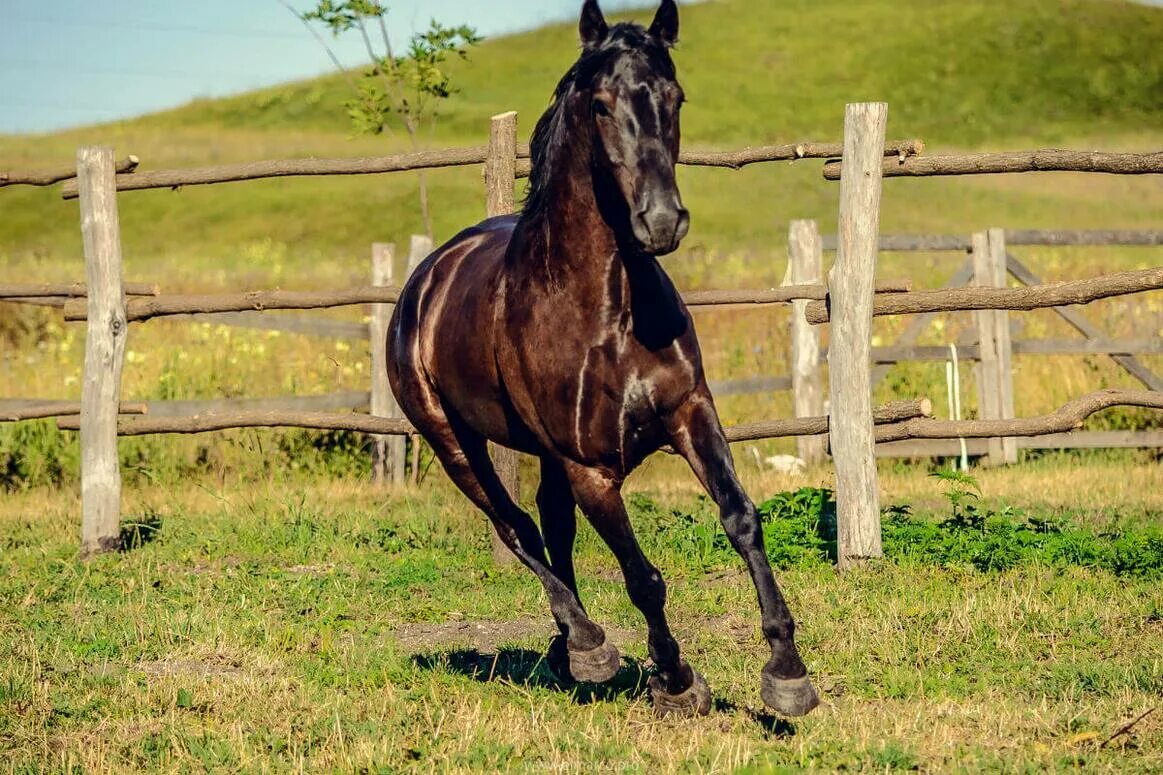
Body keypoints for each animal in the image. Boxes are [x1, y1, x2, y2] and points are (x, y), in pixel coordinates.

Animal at [390, 0, 818, 716]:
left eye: (675, 96)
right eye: (600, 104)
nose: (661, 222)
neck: (605, 310)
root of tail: (426, 277)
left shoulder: (689, 412)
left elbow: (741, 519)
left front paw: (787, 674)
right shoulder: (590, 467)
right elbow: (642, 577)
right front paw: (676, 681)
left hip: (540, 452)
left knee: (549, 525)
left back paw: (569, 649)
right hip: (452, 441)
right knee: (516, 527)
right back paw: (589, 645)